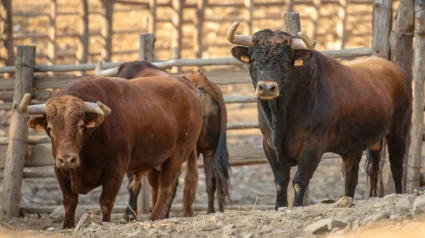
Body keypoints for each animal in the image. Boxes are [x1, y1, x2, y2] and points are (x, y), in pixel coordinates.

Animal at [20, 76, 203, 229]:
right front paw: (67, 226)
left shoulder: (115, 169)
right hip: (156, 159)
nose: (67, 159)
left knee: (166, 186)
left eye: (81, 125)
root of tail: (184, 83)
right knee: (156, 187)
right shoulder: (59, 170)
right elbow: (69, 201)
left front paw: (105, 223)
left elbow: (106, 201)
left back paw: (152, 217)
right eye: (50, 128)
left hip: (177, 155)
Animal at [96, 61, 230, 219]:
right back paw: (210, 211)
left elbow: (133, 183)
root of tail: (195, 79)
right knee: (209, 180)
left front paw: (130, 214)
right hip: (208, 148)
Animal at [229, 20, 410, 208]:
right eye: (253, 60)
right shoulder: (269, 145)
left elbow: (299, 181)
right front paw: (279, 207)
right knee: (351, 178)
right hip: (354, 147)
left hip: (400, 132)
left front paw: (297, 206)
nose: (266, 87)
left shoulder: (313, 146)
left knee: (397, 168)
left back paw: (399, 195)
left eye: (286, 61)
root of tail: (389, 64)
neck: (281, 117)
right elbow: (280, 181)